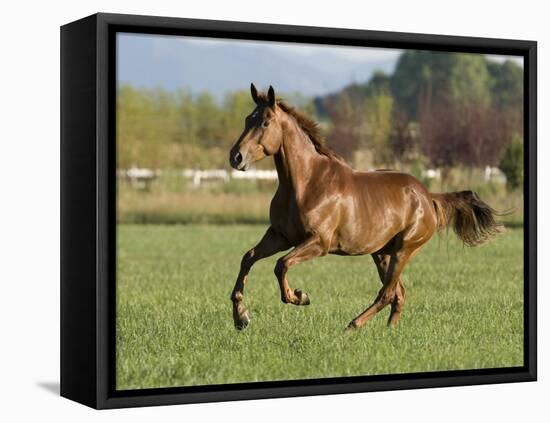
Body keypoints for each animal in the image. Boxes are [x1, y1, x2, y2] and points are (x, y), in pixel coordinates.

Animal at [229, 83, 504, 332]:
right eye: (247, 119)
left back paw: (352, 326)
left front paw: (299, 296)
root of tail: (428, 196)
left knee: (388, 293)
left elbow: (281, 264)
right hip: (381, 253)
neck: (306, 182)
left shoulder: (319, 242)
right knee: (398, 294)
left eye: (265, 123)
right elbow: (248, 258)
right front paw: (241, 317)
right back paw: (387, 331)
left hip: (404, 250)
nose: (236, 157)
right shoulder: (280, 235)